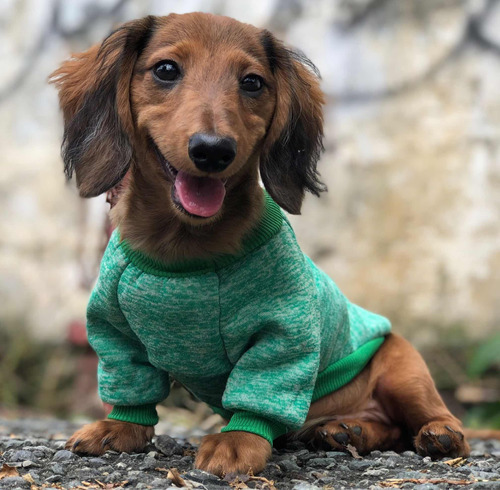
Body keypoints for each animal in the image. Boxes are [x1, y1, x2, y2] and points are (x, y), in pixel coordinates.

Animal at [52, 13, 470, 476]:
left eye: (252, 82)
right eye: (166, 70)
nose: (213, 151)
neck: (184, 250)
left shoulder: (282, 332)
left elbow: (262, 385)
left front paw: (239, 440)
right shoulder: (114, 329)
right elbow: (130, 380)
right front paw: (119, 427)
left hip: (404, 367)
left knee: (433, 418)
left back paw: (439, 434)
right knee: (390, 429)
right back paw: (348, 430)